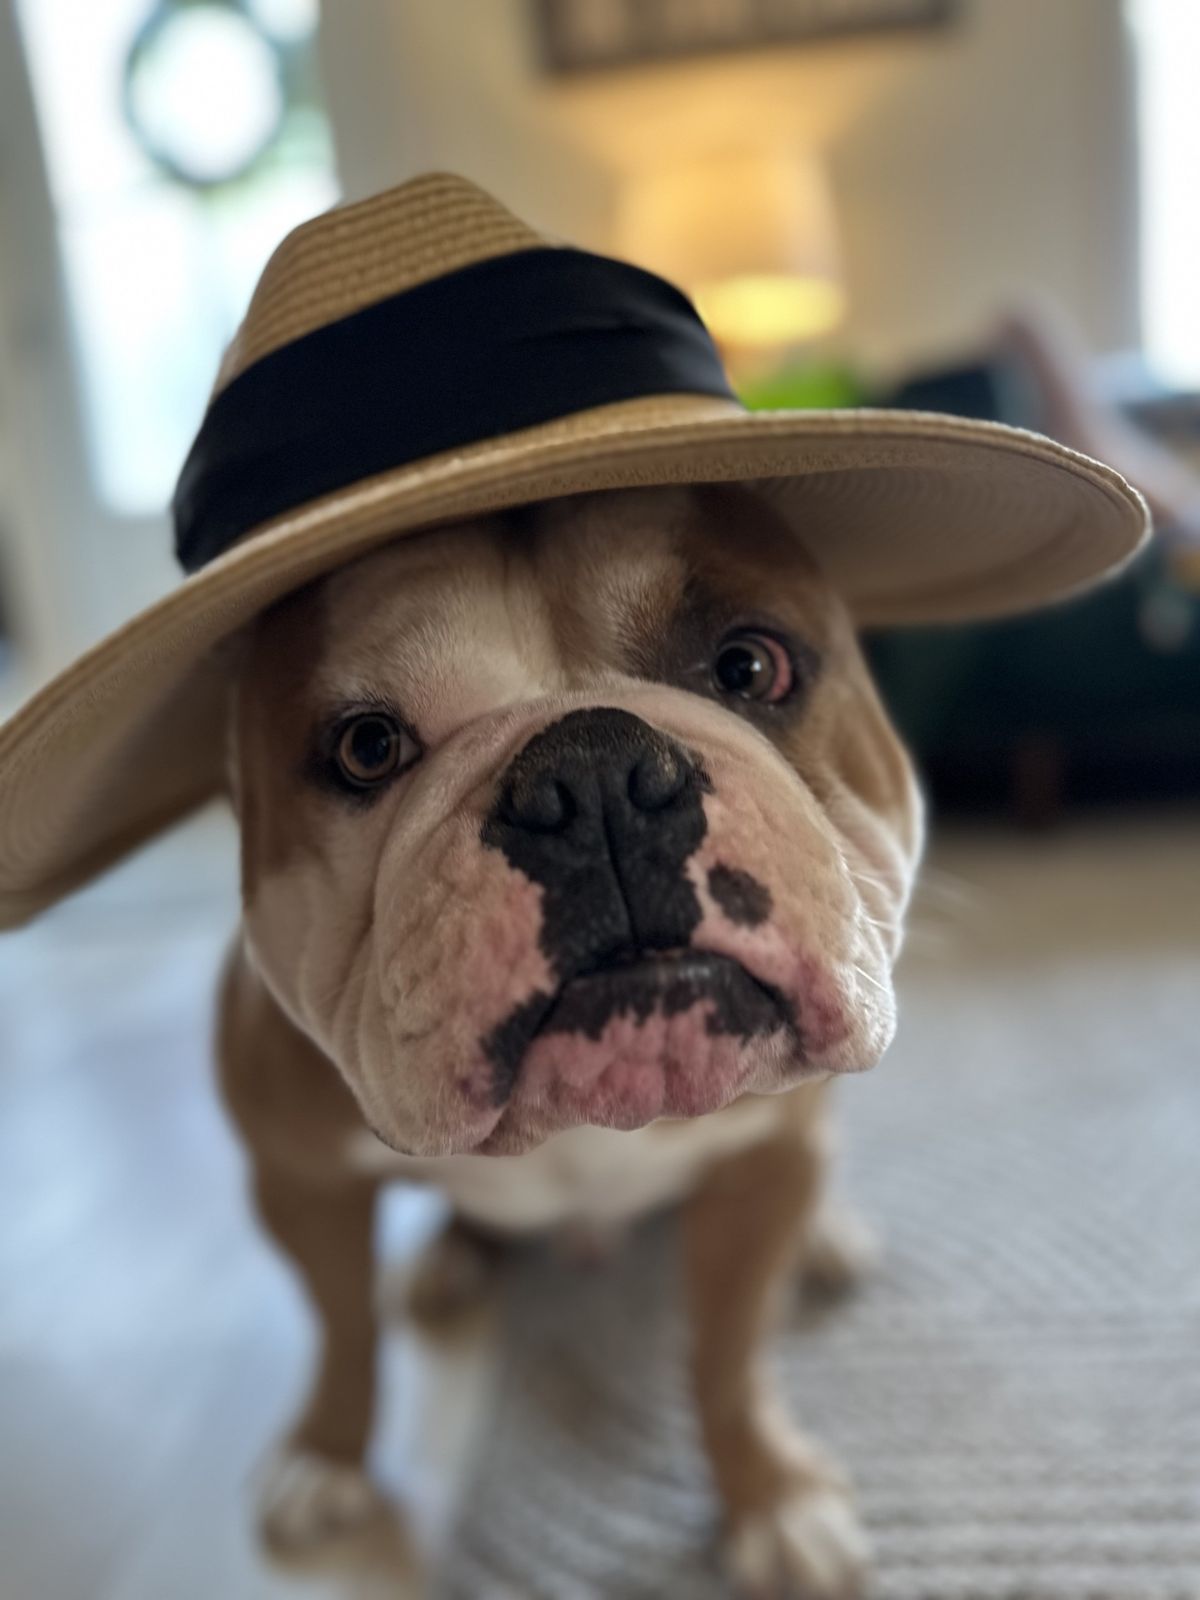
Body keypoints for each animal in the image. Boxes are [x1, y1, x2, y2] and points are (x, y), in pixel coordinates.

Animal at [216, 481, 921, 1596]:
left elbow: (728, 1354)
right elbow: (343, 1327)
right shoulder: (298, 1181)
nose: (593, 777)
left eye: (749, 666)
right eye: (366, 747)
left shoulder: (760, 1168)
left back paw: (825, 1238)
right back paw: (452, 1257)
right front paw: (328, 1451)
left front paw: (769, 1496)